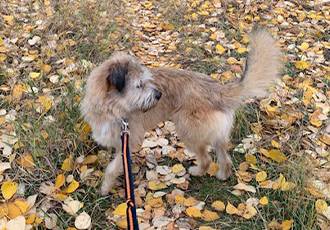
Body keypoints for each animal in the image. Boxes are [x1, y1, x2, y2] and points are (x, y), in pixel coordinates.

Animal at [81, 27, 280, 196]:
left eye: (145, 82)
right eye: (139, 85)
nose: (159, 95)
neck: (112, 110)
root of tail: (217, 90)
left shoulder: (129, 139)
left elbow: (112, 167)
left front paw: (105, 187)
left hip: (188, 130)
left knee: (206, 159)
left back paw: (198, 171)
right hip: (217, 134)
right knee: (225, 158)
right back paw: (223, 175)